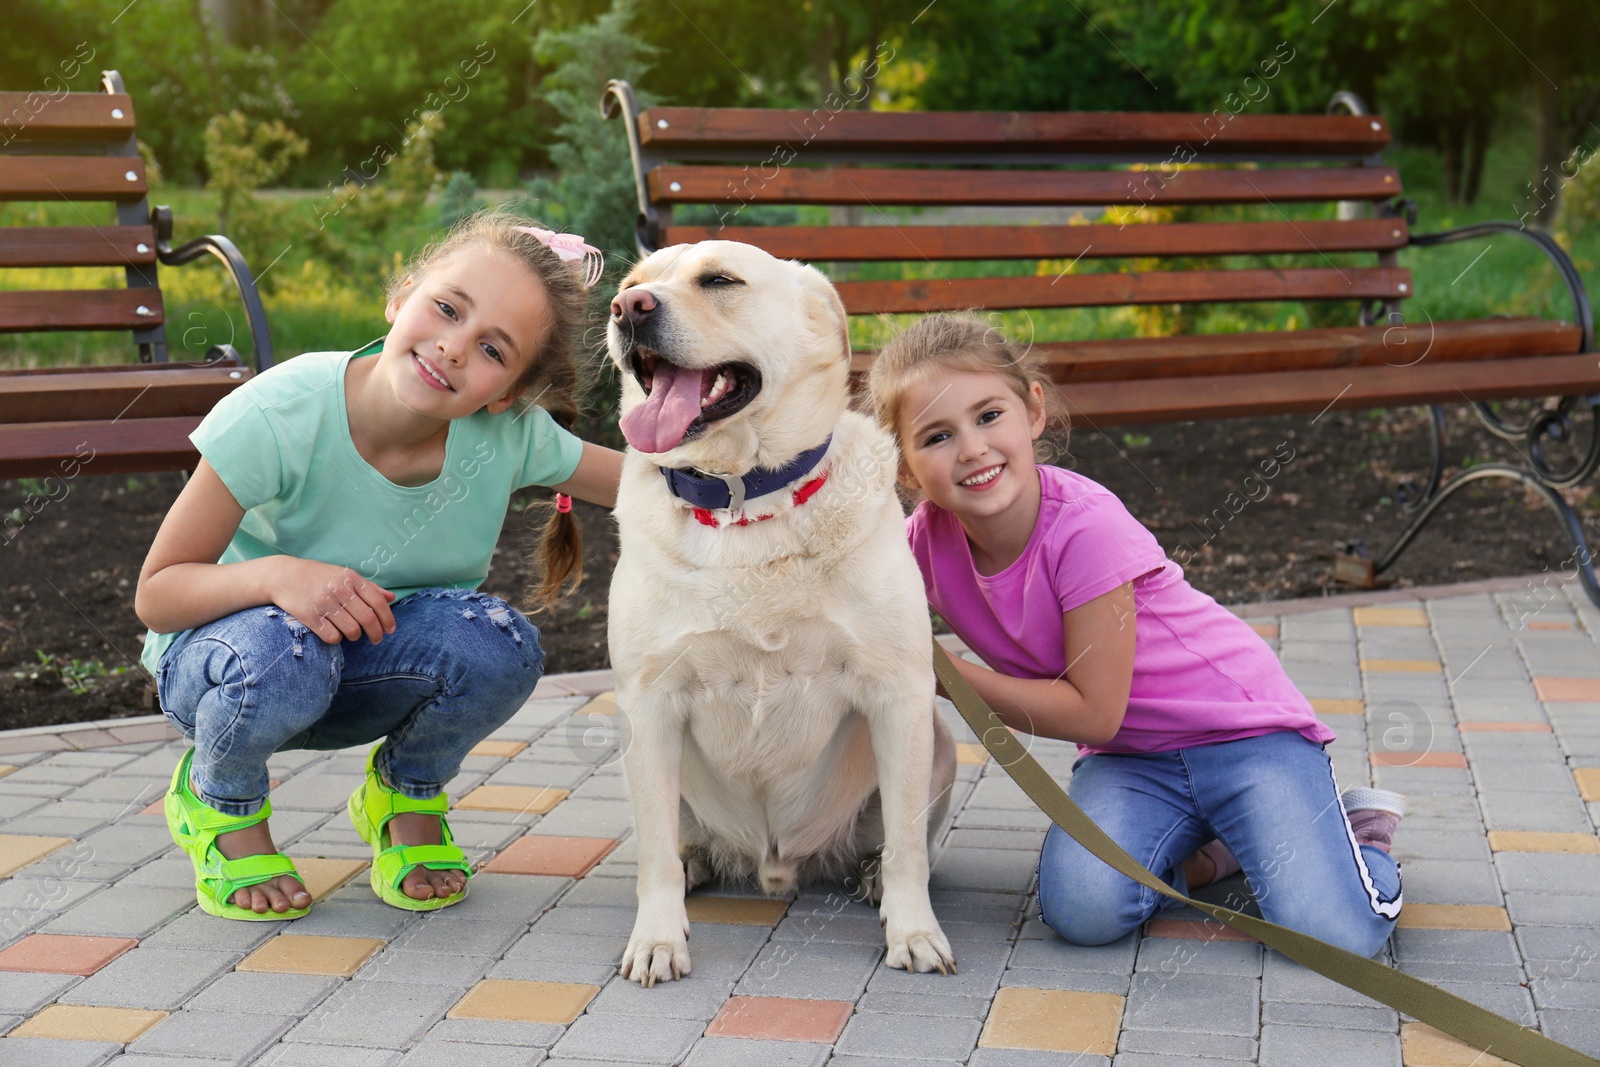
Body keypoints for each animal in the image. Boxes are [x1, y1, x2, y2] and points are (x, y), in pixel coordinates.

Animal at [601, 239, 947, 985]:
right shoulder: (649, 701)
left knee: (896, 840)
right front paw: (658, 939)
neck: (743, 498)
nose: (626, 308)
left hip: (936, 738)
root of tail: (775, 867)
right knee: (670, 837)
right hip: (637, 753)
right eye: (633, 283)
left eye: (719, 280)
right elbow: (652, 856)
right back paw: (696, 861)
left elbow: (909, 843)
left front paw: (914, 931)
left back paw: (872, 874)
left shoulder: (900, 694)